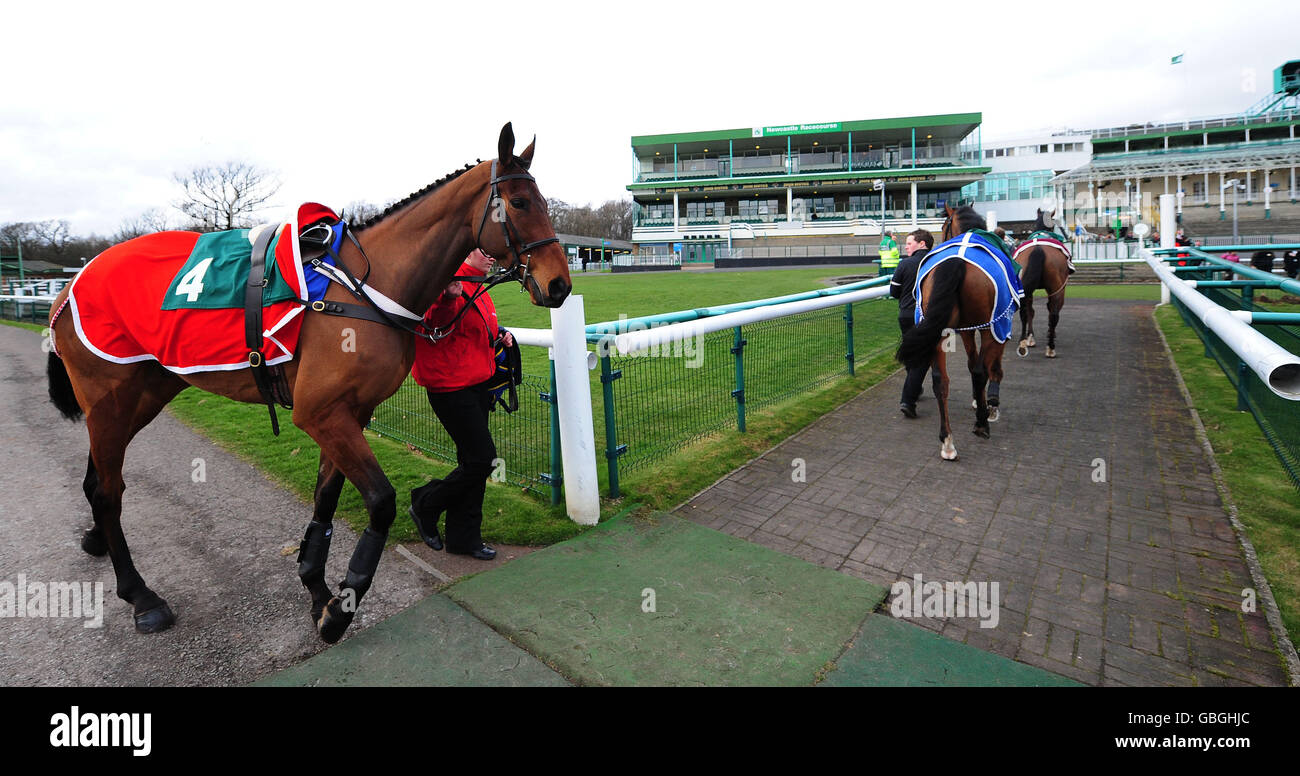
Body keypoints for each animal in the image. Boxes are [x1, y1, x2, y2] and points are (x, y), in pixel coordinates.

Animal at [45, 123, 571, 643]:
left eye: (545, 202)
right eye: (520, 203)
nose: (560, 285)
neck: (360, 288)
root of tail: (72, 283)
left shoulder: (348, 413)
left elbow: (325, 501)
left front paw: (317, 590)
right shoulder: (321, 414)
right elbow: (381, 502)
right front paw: (341, 607)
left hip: (142, 396)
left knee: (99, 482)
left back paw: (97, 541)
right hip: (110, 403)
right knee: (109, 493)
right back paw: (141, 596)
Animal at [895, 205, 1011, 461]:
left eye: (942, 225)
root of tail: (957, 261)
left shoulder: (966, 330)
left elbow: (969, 364)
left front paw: (980, 401)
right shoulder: (998, 324)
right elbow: (990, 367)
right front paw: (989, 405)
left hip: (938, 330)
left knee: (940, 381)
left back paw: (947, 441)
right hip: (989, 325)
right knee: (980, 371)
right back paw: (981, 425)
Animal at [1015, 208, 1071, 358]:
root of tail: (1038, 248)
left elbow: (1031, 311)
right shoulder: (1060, 288)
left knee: (1025, 312)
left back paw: (1023, 342)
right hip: (1057, 288)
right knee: (1053, 315)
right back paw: (1050, 347)